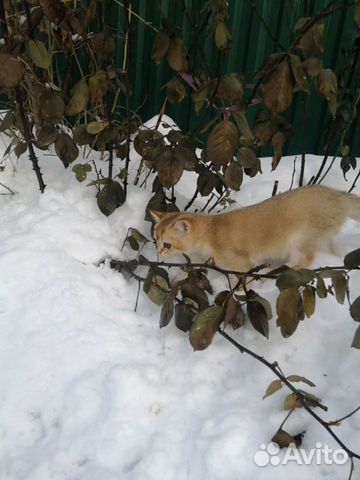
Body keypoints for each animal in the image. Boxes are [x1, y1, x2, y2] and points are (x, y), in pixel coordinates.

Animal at [150, 186, 360, 272]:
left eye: (167, 245)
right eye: (155, 241)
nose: (159, 251)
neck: (211, 231)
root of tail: (339, 195)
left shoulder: (241, 264)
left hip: (302, 239)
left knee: (307, 259)